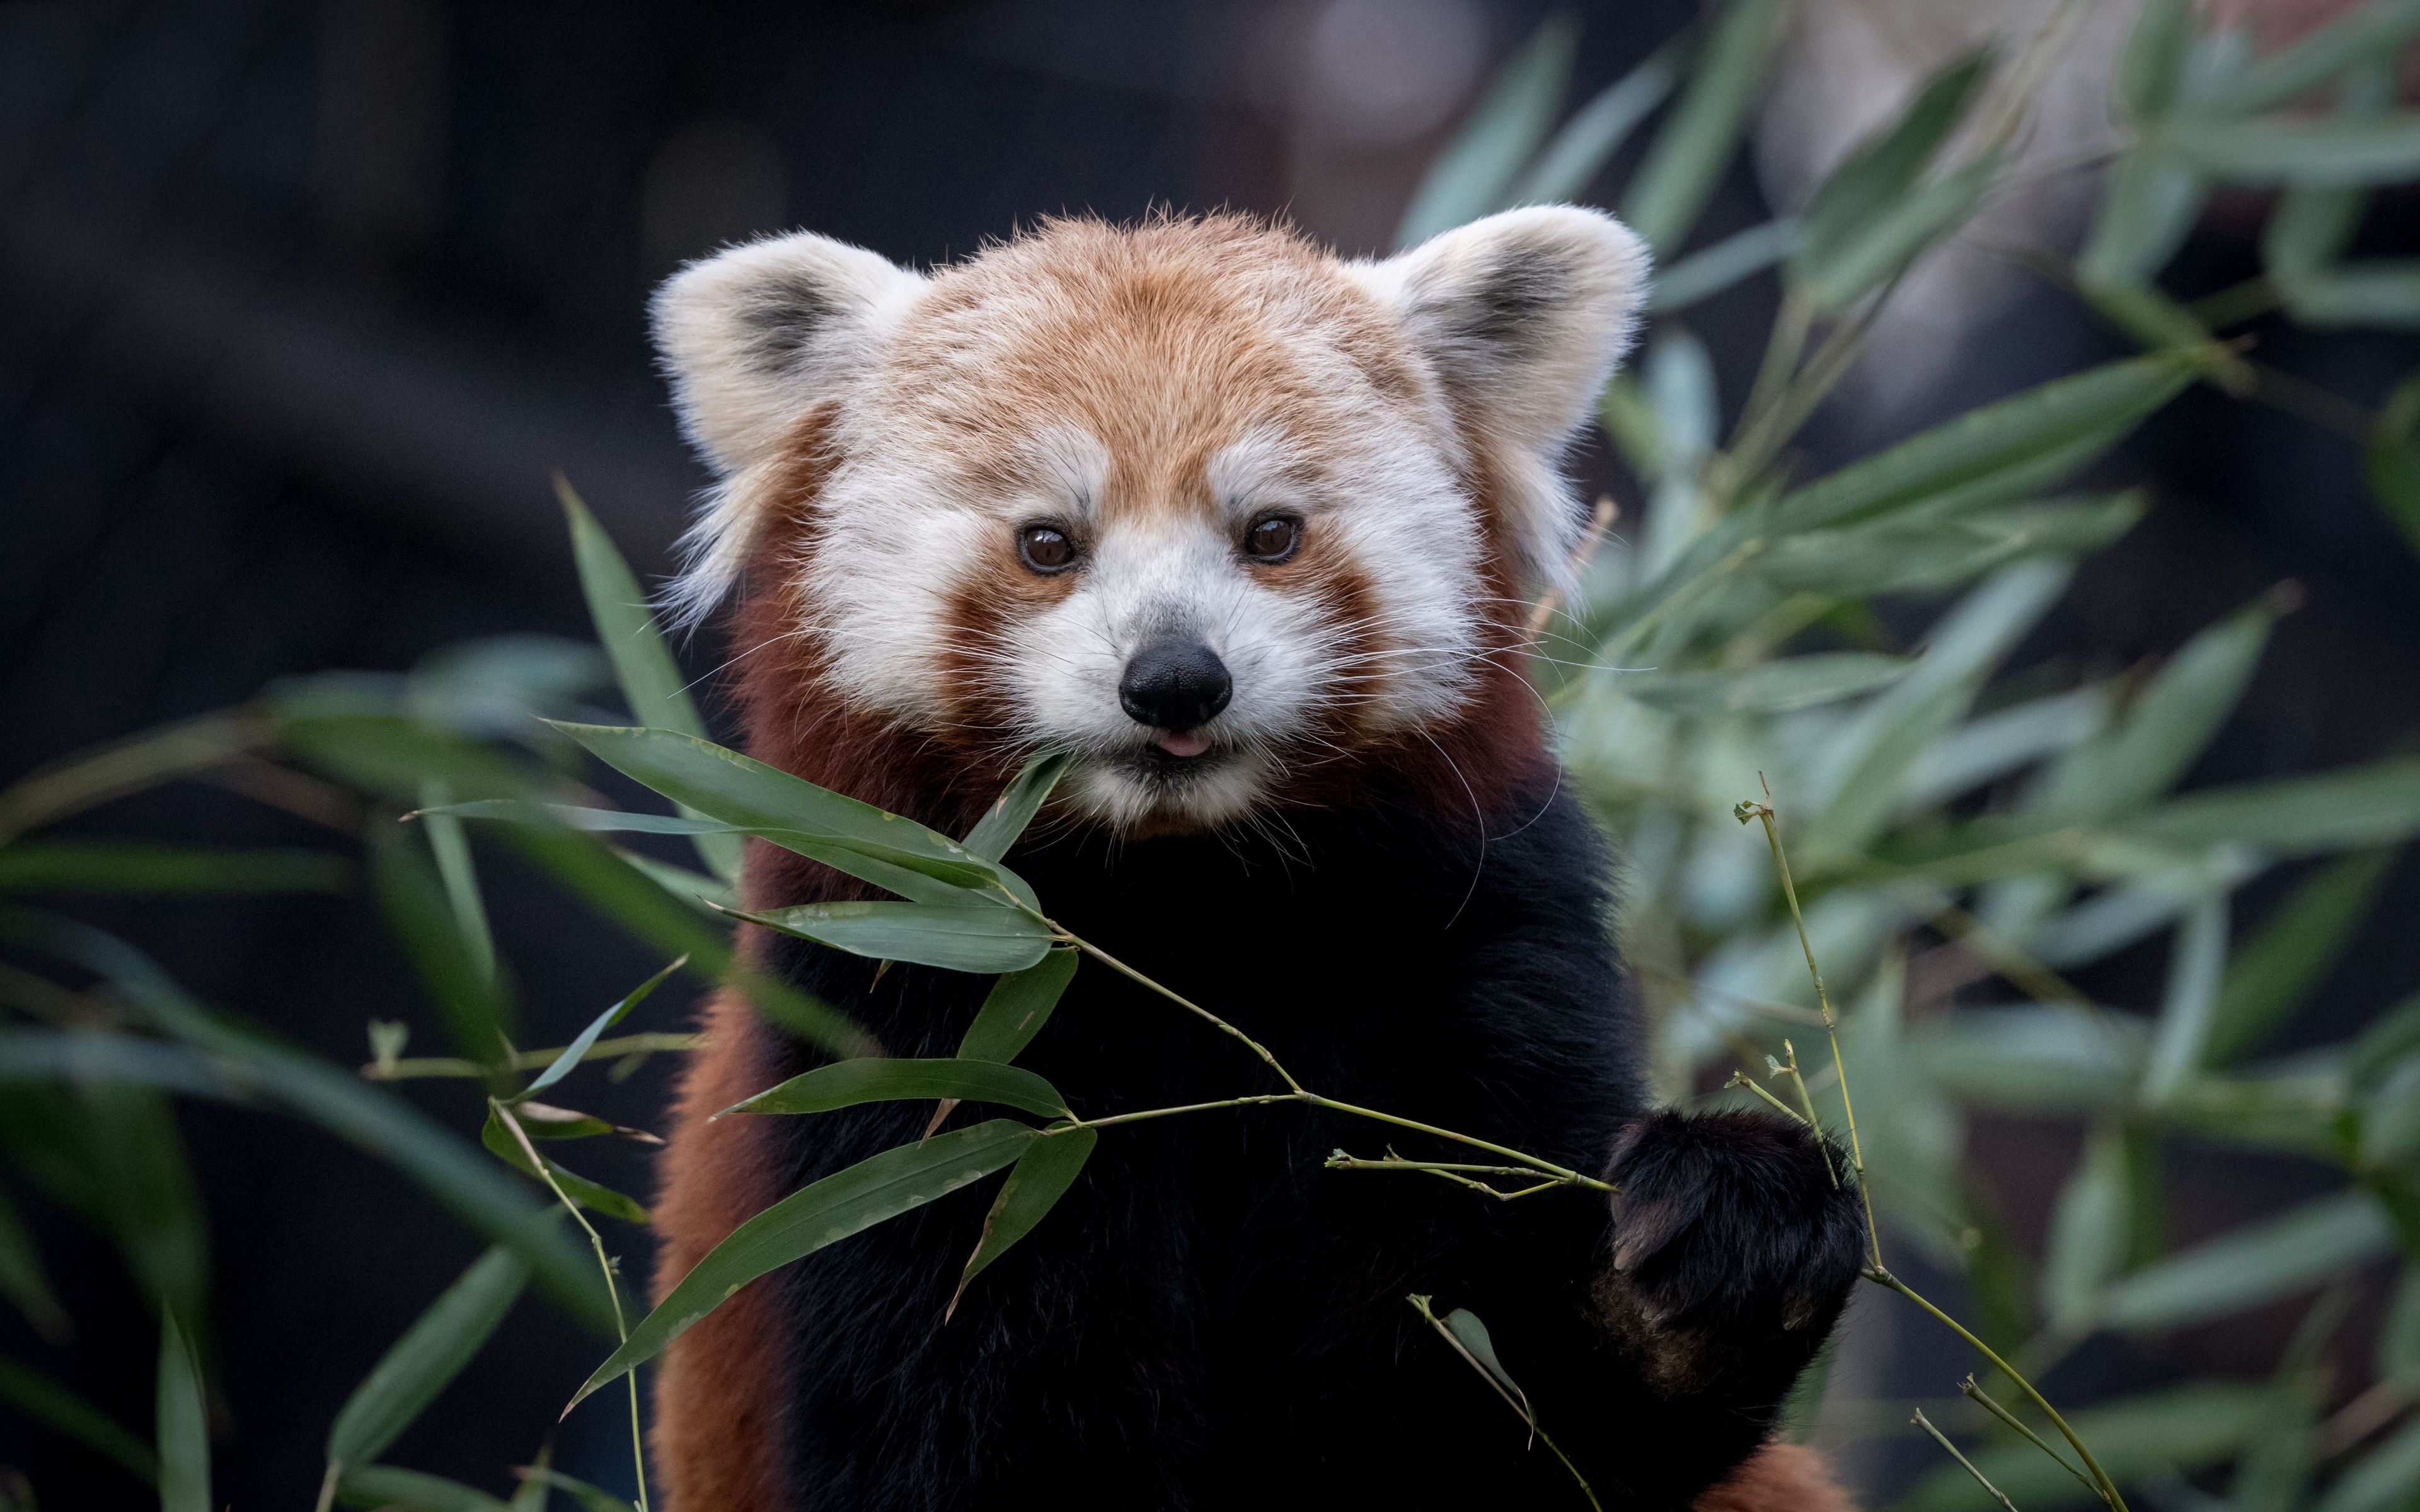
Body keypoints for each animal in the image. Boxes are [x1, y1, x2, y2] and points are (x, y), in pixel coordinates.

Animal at [641, 208, 1867, 1511]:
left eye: (1271, 533)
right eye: (1047, 544)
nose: (1176, 677)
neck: (1187, 906)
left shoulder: (1469, 961)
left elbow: (1495, 1405)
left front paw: (1725, 1245)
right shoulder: (903, 1039)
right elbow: (951, 1423)